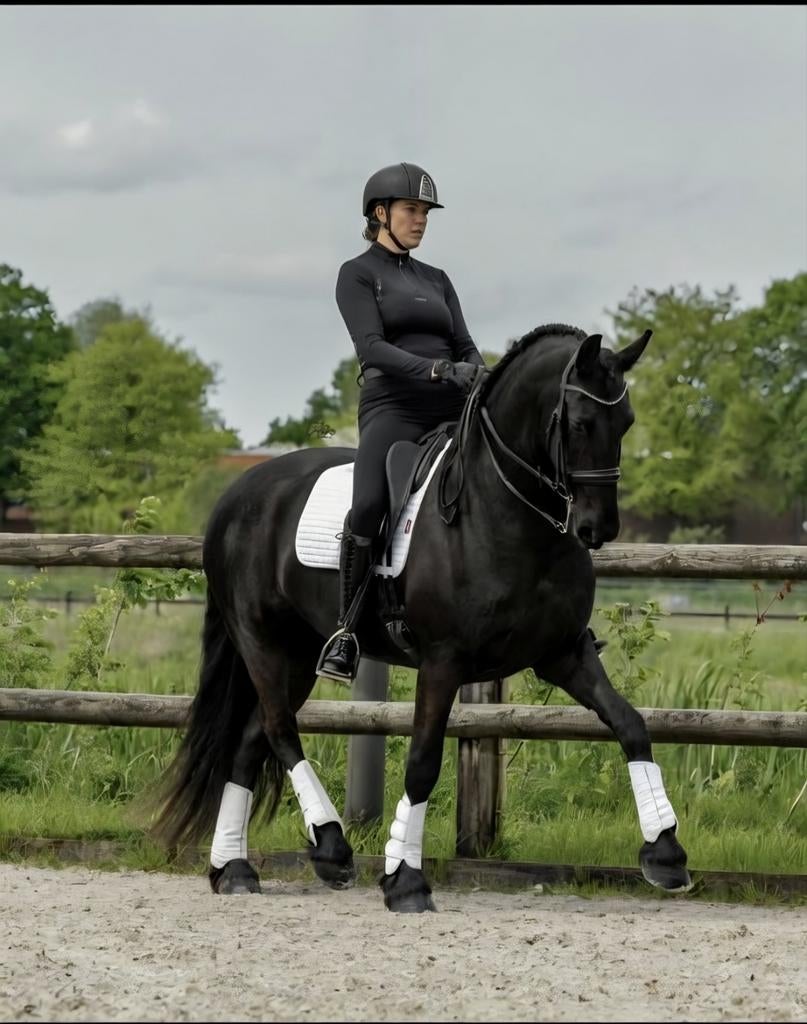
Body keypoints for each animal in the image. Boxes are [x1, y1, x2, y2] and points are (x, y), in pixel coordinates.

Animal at [150, 323, 691, 913]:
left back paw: (235, 868)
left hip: (296, 651)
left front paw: (665, 852)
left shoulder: (563, 654)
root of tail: (236, 495)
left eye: (627, 421)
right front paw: (405, 879)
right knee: (277, 727)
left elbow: (630, 724)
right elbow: (424, 761)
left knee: (251, 740)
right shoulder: (442, 661)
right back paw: (331, 848)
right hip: (262, 640)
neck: (503, 514)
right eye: (577, 422)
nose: (599, 527)